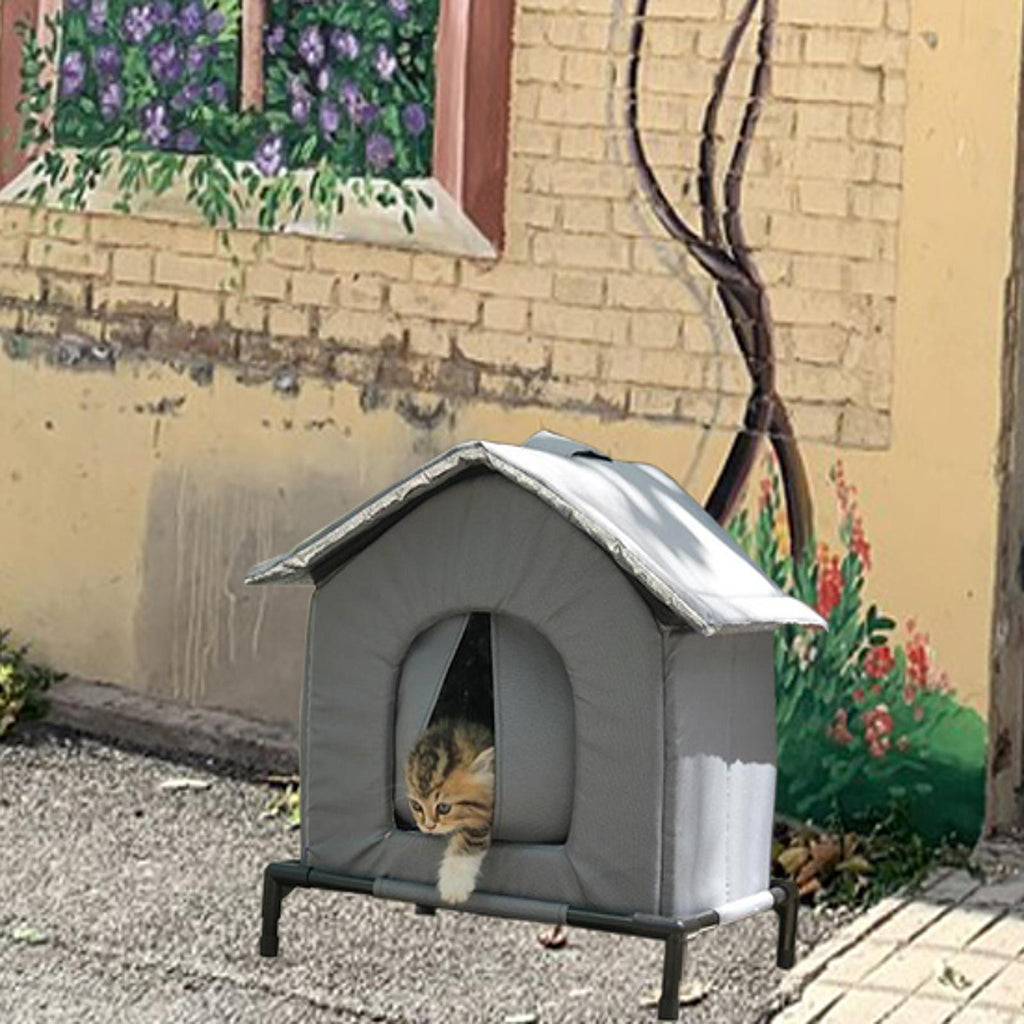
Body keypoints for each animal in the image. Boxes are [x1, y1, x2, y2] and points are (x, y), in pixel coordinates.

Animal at [404, 717, 495, 905]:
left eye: (444, 808)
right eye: (416, 806)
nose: (429, 826)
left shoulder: (485, 815)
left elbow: (470, 837)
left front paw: (454, 883)